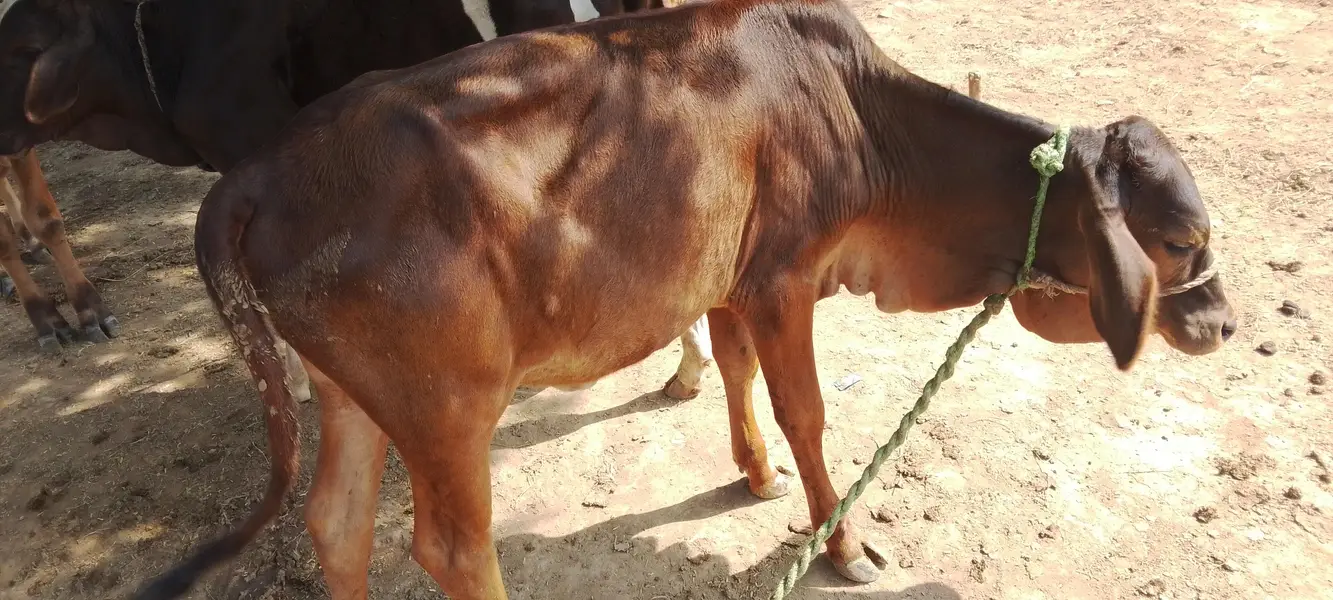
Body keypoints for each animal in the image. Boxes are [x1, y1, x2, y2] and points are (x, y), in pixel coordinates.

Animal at [135, 0, 1238, 597]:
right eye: (1180, 240)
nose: (1222, 322)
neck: (856, 117)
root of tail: (258, 172)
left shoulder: (727, 279)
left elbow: (735, 370)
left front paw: (752, 475)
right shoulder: (783, 276)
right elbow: (807, 413)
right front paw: (841, 542)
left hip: (353, 395)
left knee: (336, 523)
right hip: (446, 406)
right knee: (447, 547)